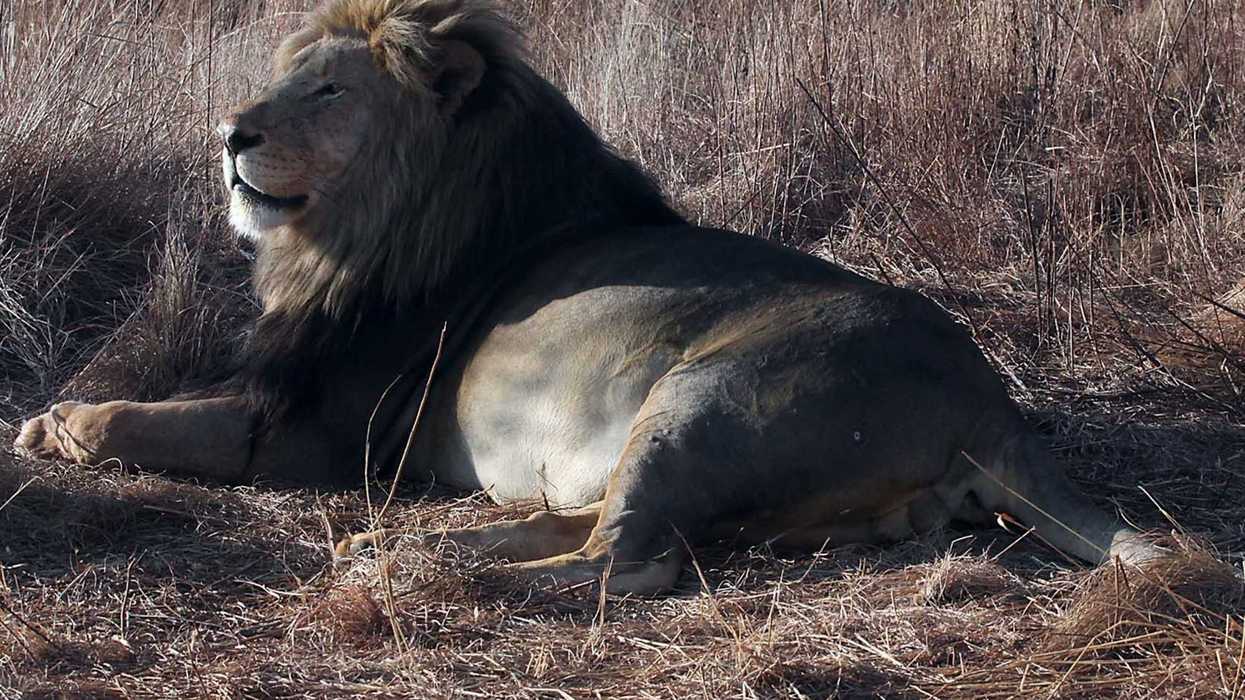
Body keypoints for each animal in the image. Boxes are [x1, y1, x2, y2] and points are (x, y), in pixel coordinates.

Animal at [15, 0, 1162, 594]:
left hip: (708, 397)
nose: (229, 134)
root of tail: (991, 399)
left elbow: (156, 420)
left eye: (328, 89)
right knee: (594, 525)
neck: (350, 232)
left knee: (626, 561)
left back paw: (417, 570)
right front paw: (51, 417)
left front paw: (62, 422)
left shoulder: (320, 435)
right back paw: (403, 545)